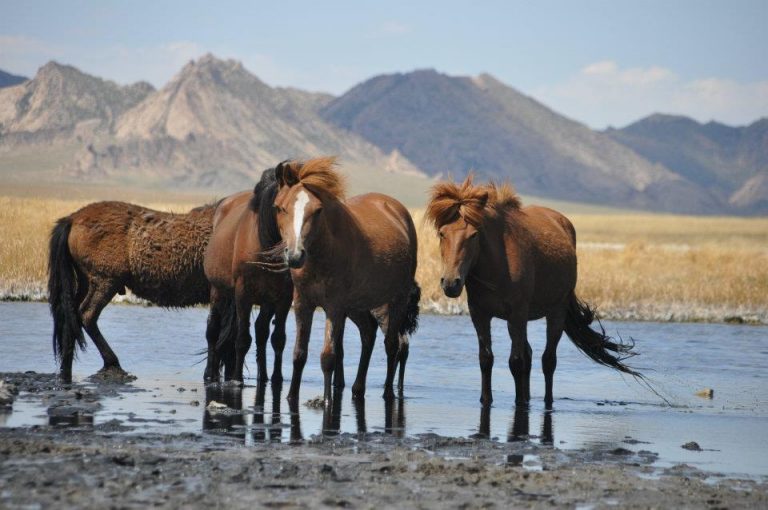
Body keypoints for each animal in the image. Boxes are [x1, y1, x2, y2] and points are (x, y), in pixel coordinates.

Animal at [48, 200, 219, 383]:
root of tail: (72, 218)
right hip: (104, 282)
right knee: (86, 314)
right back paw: (112, 362)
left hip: (87, 283)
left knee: (71, 318)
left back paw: (66, 370)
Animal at [203, 165, 293, 385]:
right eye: (281, 207)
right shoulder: (243, 294)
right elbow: (242, 339)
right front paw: (236, 379)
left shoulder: (283, 298)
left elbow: (278, 338)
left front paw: (277, 378)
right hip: (219, 291)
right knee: (213, 330)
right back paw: (211, 374)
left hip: (265, 300)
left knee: (261, 331)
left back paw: (264, 376)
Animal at [271, 157, 420, 403]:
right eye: (281, 207)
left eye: (317, 210)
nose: (295, 255)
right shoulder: (303, 304)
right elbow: (299, 354)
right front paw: (291, 396)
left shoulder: (334, 306)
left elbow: (328, 356)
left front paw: (327, 401)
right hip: (357, 306)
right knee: (368, 334)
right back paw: (358, 388)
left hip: (395, 300)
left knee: (393, 345)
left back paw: (388, 392)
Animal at [426, 175, 640, 407]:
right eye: (442, 233)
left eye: (473, 235)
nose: (451, 283)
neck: (497, 264)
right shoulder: (479, 314)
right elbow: (486, 358)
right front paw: (486, 400)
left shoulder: (517, 314)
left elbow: (516, 362)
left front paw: (520, 403)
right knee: (529, 355)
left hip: (555, 312)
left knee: (548, 360)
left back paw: (546, 400)